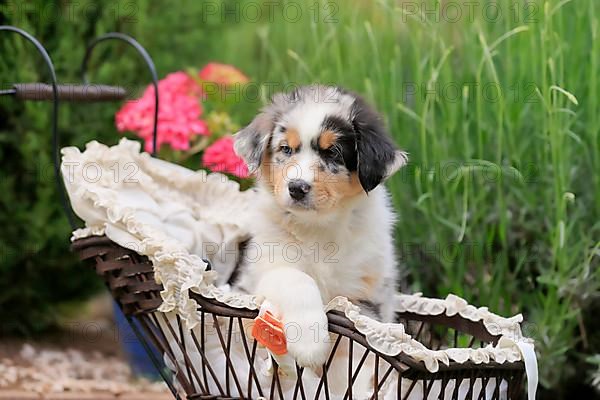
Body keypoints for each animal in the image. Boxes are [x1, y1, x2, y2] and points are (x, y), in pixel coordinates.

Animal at [232, 85, 406, 368]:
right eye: (286, 149)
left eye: (332, 152)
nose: (296, 188)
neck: (317, 226)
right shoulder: (266, 265)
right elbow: (297, 278)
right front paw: (309, 343)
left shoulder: (366, 290)